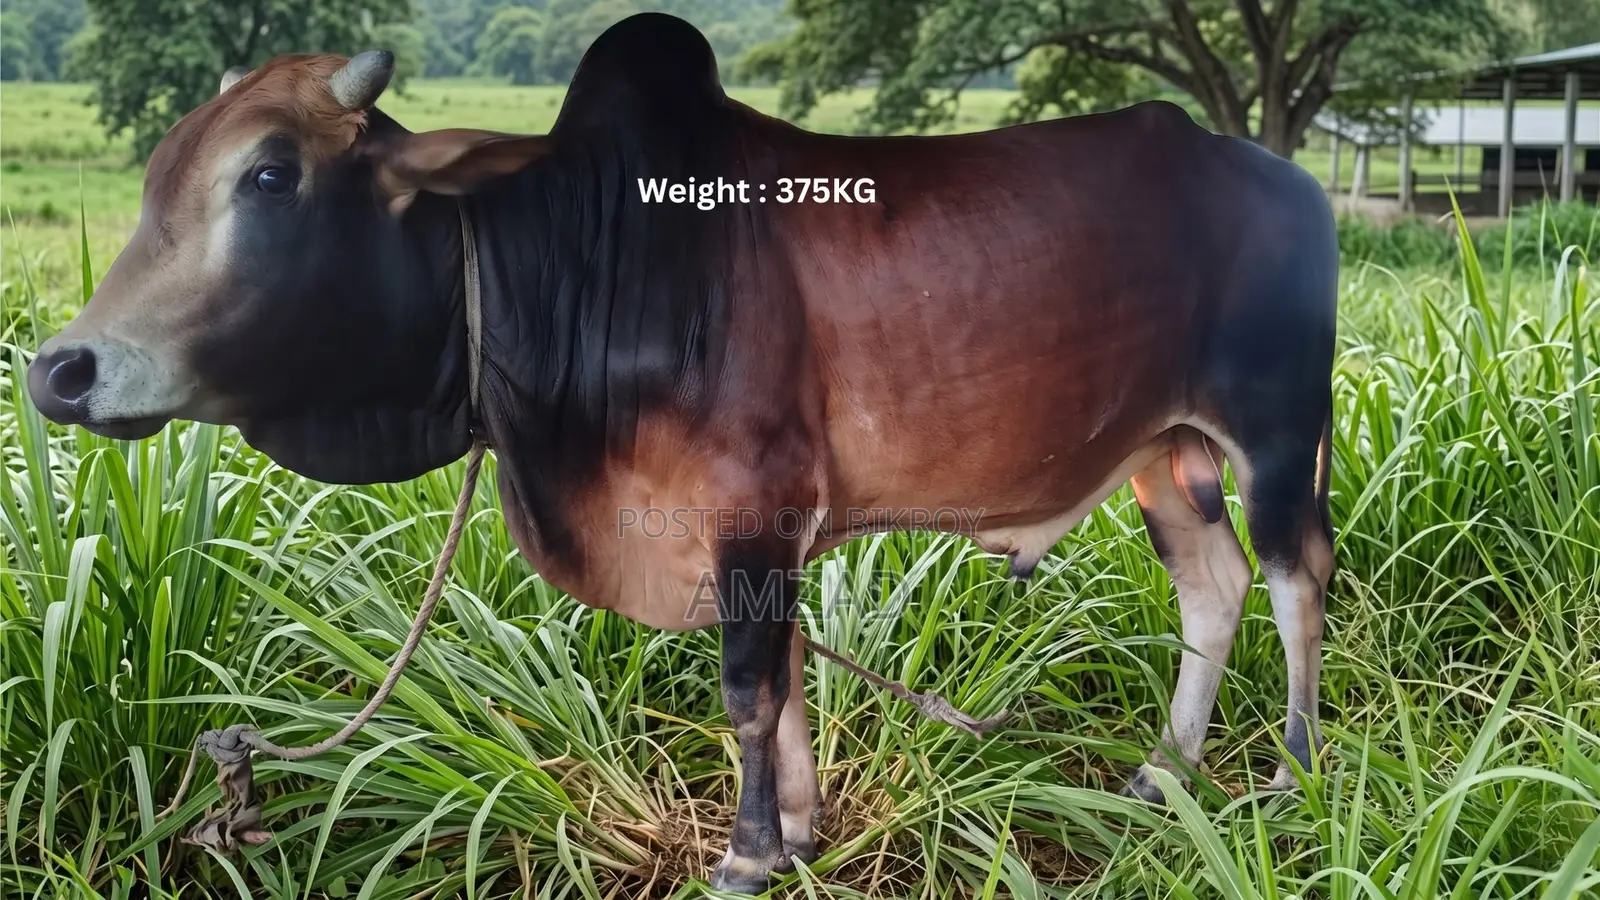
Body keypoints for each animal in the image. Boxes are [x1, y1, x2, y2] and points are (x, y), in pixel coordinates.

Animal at [26, 12, 1337, 893]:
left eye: (269, 173)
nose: (59, 372)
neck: (584, 261)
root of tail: (1283, 175)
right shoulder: (758, 536)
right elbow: (789, 679)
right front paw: (798, 834)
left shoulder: (751, 506)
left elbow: (750, 691)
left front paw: (749, 856)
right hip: (1165, 452)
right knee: (1211, 588)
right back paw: (1163, 773)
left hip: (1273, 433)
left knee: (1294, 580)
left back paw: (1289, 776)